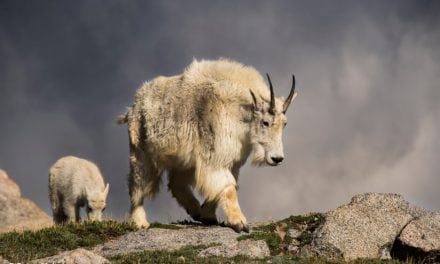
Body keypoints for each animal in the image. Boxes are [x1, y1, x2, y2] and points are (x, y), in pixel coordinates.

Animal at [117, 58, 298, 232]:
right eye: (265, 122)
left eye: (285, 124)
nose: (277, 158)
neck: (238, 112)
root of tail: (133, 106)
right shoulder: (215, 156)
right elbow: (228, 187)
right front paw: (239, 222)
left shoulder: (231, 161)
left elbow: (225, 186)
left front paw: (208, 215)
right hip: (140, 150)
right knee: (138, 182)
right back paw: (139, 222)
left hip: (182, 160)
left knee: (176, 183)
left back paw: (195, 210)